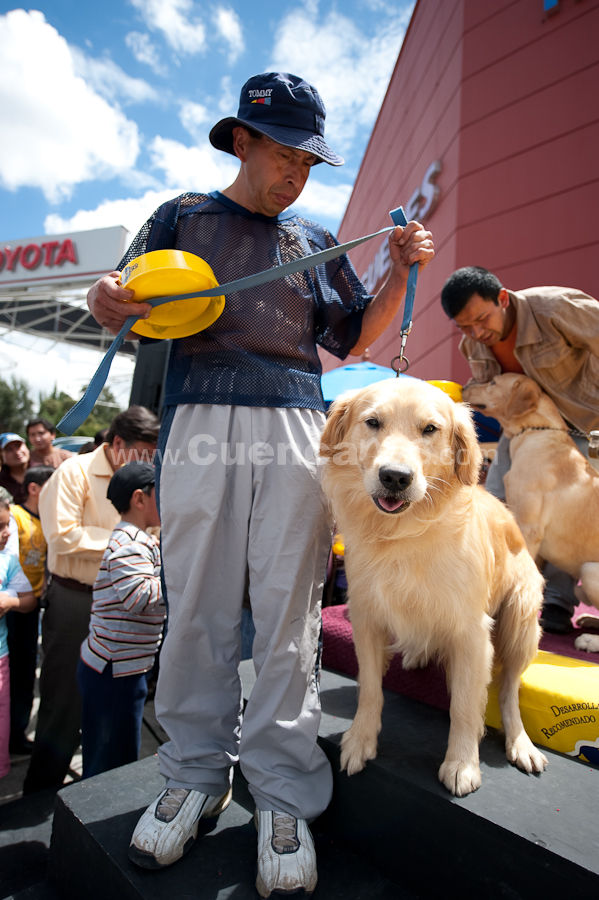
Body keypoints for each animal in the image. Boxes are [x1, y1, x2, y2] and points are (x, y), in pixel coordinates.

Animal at [319, 378, 547, 796]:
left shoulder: (472, 633)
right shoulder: (366, 617)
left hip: (522, 615)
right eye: (372, 422)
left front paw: (461, 763)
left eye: (430, 429)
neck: (404, 535)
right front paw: (360, 740)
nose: (395, 477)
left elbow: (464, 706)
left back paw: (521, 743)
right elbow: (370, 688)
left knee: (508, 690)